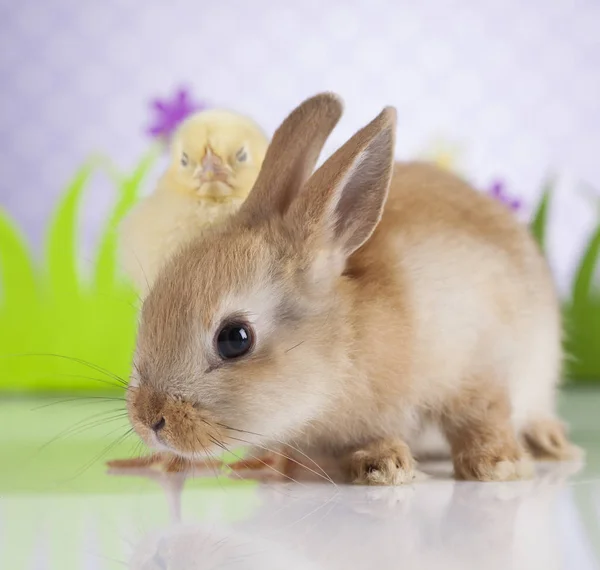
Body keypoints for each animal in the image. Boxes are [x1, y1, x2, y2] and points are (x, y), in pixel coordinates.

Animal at [124, 91, 580, 482]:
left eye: (235, 338)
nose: (150, 420)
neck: (345, 347)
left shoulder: (479, 362)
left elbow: (482, 416)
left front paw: (498, 466)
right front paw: (383, 464)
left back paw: (550, 442)